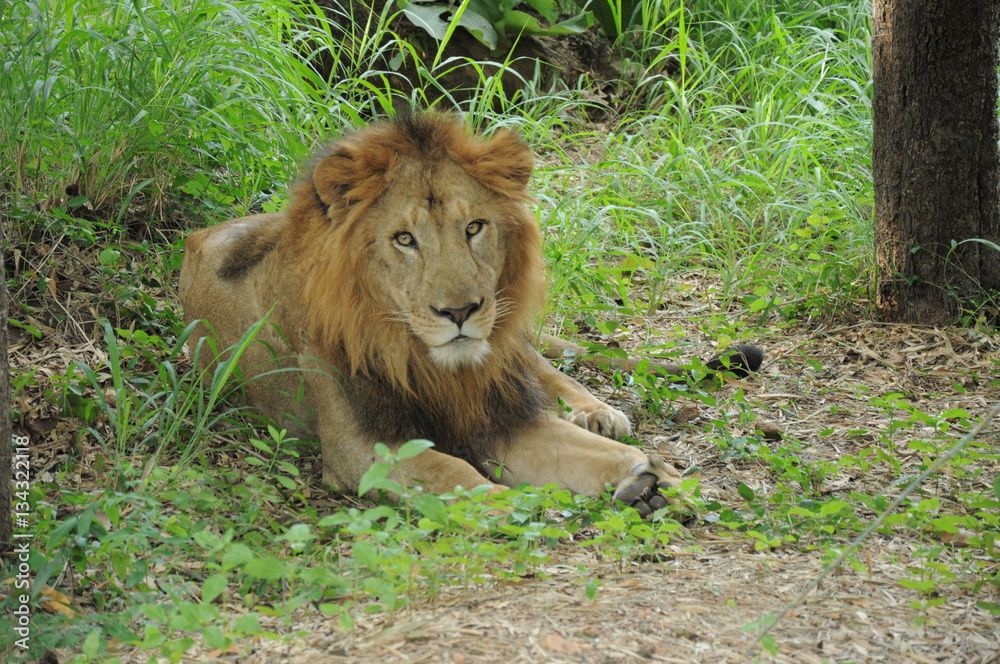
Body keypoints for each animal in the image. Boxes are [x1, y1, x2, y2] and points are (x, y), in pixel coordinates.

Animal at [179, 113, 758, 515]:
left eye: (474, 227)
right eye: (404, 239)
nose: (459, 311)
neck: (424, 358)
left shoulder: (502, 413)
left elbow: (586, 448)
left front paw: (661, 479)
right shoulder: (363, 448)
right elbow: (455, 475)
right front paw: (529, 505)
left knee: (552, 371)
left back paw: (597, 410)